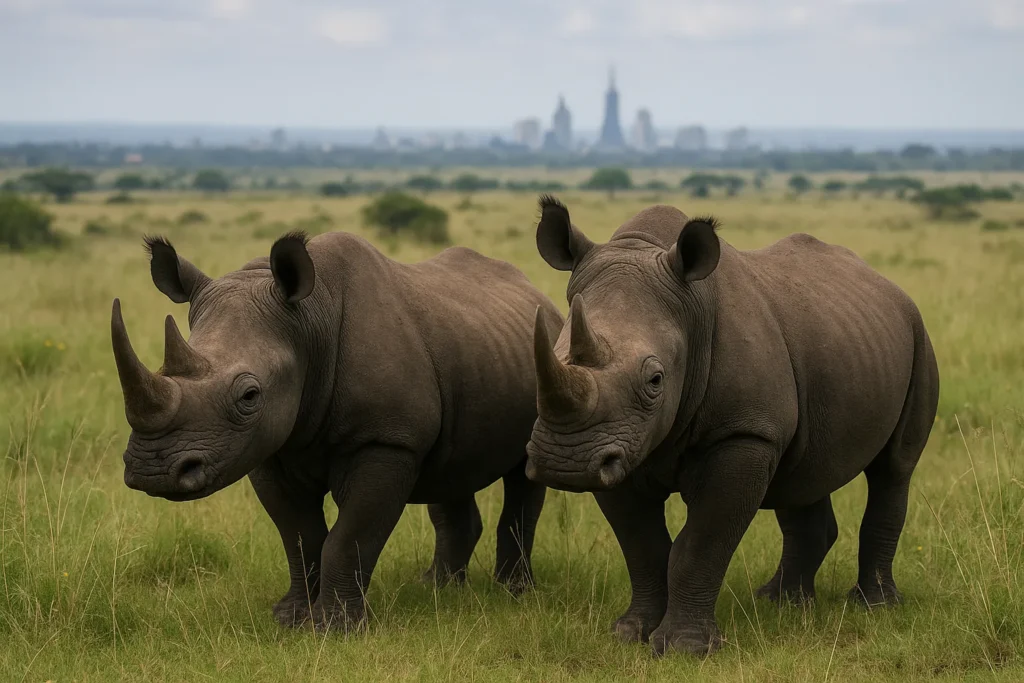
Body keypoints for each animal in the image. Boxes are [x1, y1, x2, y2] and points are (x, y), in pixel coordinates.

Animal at [111, 230, 562, 630]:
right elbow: (299, 534)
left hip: (547, 358)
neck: (310, 324)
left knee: (522, 477)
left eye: (250, 396)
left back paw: (512, 594)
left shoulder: (387, 440)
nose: (154, 470)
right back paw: (438, 590)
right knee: (451, 473)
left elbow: (350, 537)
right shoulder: (269, 449)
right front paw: (290, 618)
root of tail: (541, 296)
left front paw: (335, 627)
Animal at [525, 197, 939, 657]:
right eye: (546, 358)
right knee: (804, 475)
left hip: (918, 335)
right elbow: (642, 545)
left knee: (893, 469)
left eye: (655, 381)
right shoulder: (616, 445)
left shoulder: (744, 432)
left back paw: (874, 605)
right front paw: (631, 633)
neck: (691, 313)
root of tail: (890, 287)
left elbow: (702, 542)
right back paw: (782, 604)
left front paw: (685, 649)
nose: (565, 462)